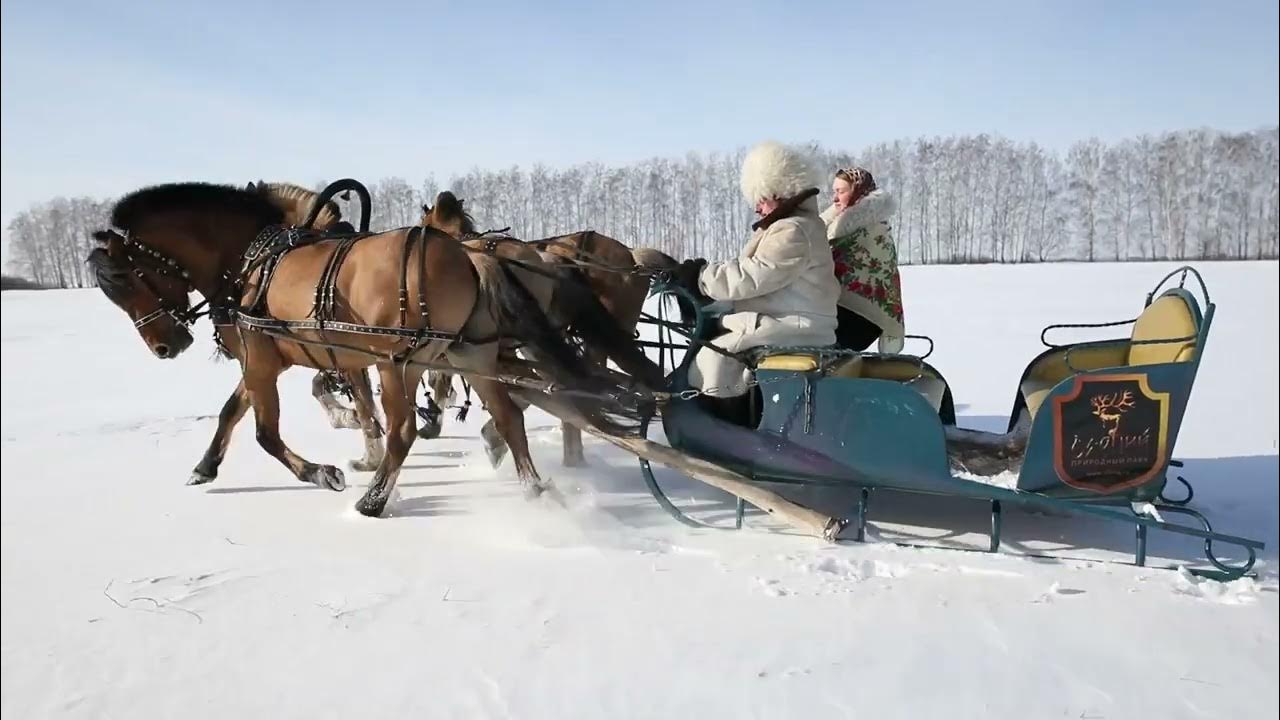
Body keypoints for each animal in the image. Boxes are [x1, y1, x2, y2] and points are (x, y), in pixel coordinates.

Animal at [86, 181, 665, 512]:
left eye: (125, 279)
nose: (166, 346)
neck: (253, 264)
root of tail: (470, 253)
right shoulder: (270, 358)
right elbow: (233, 412)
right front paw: (205, 466)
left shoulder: (264, 358)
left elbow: (267, 433)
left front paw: (325, 472)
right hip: (471, 355)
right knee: (508, 415)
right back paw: (534, 489)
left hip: (400, 362)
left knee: (406, 430)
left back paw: (374, 500)